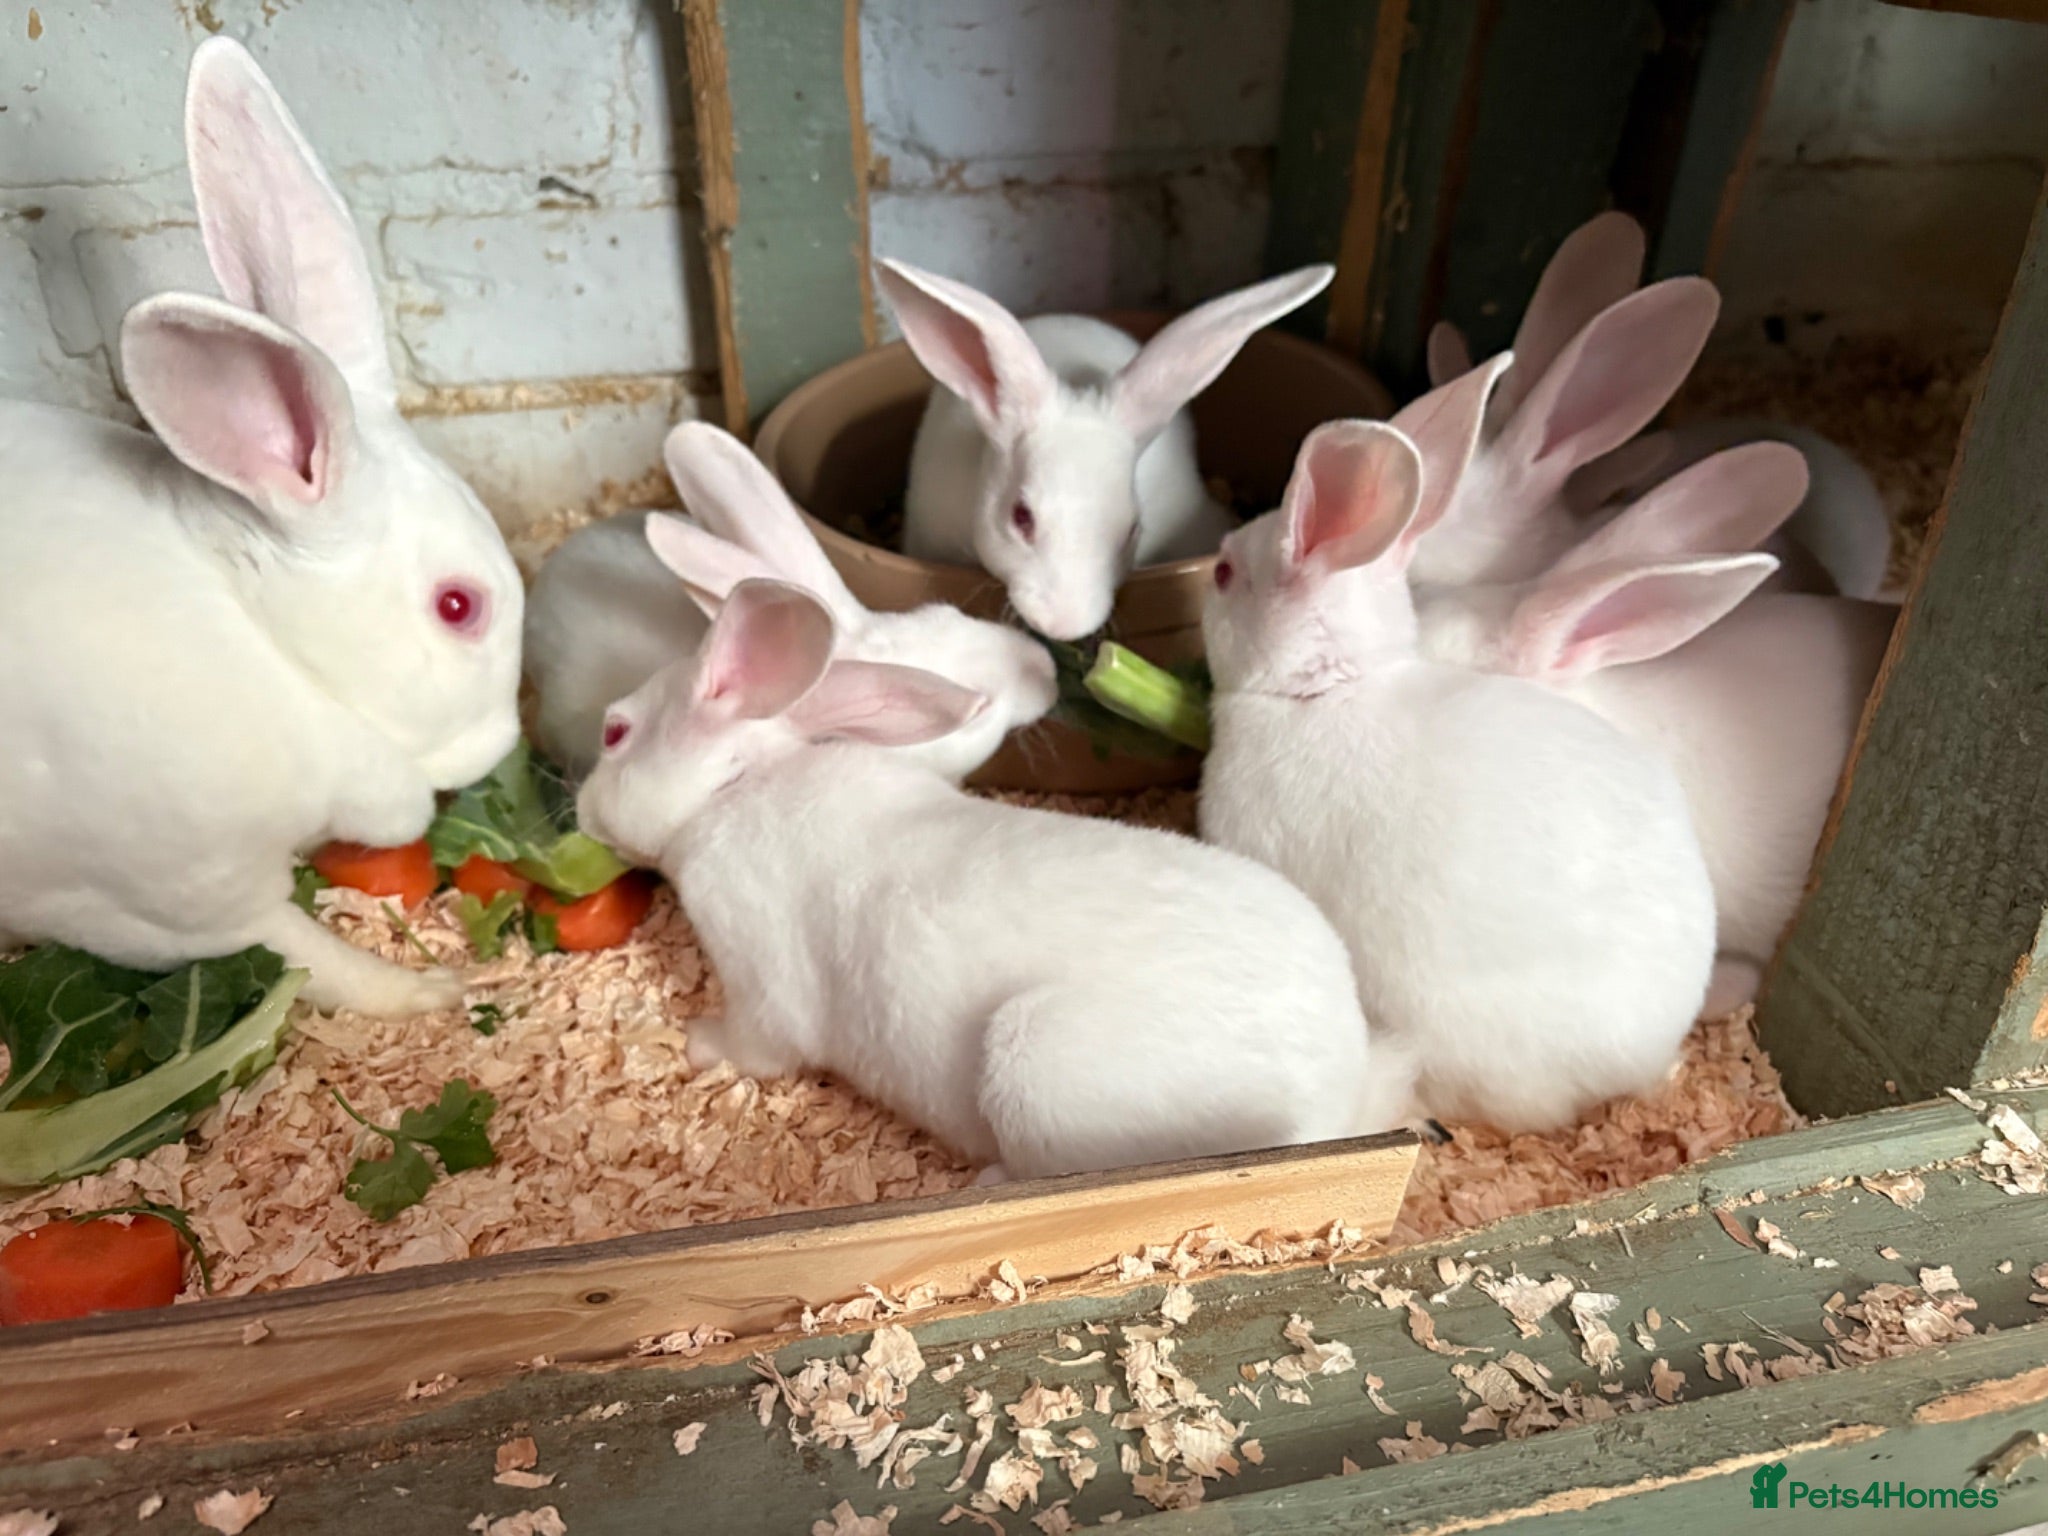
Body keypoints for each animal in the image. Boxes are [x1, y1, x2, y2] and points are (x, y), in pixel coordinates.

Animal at [0, 38, 523, 1017]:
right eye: (458, 606)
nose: (502, 746)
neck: (263, 641)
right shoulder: (179, 900)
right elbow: (309, 954)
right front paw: (428, 990)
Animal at [574, 577, 1420, 1179]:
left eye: (614, 732)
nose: (580, 809)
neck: (735, 786)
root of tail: (1340, 1078)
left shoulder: (759, 979)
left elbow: (756, 1044)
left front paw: (695, 1040)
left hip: (1034, 1064)